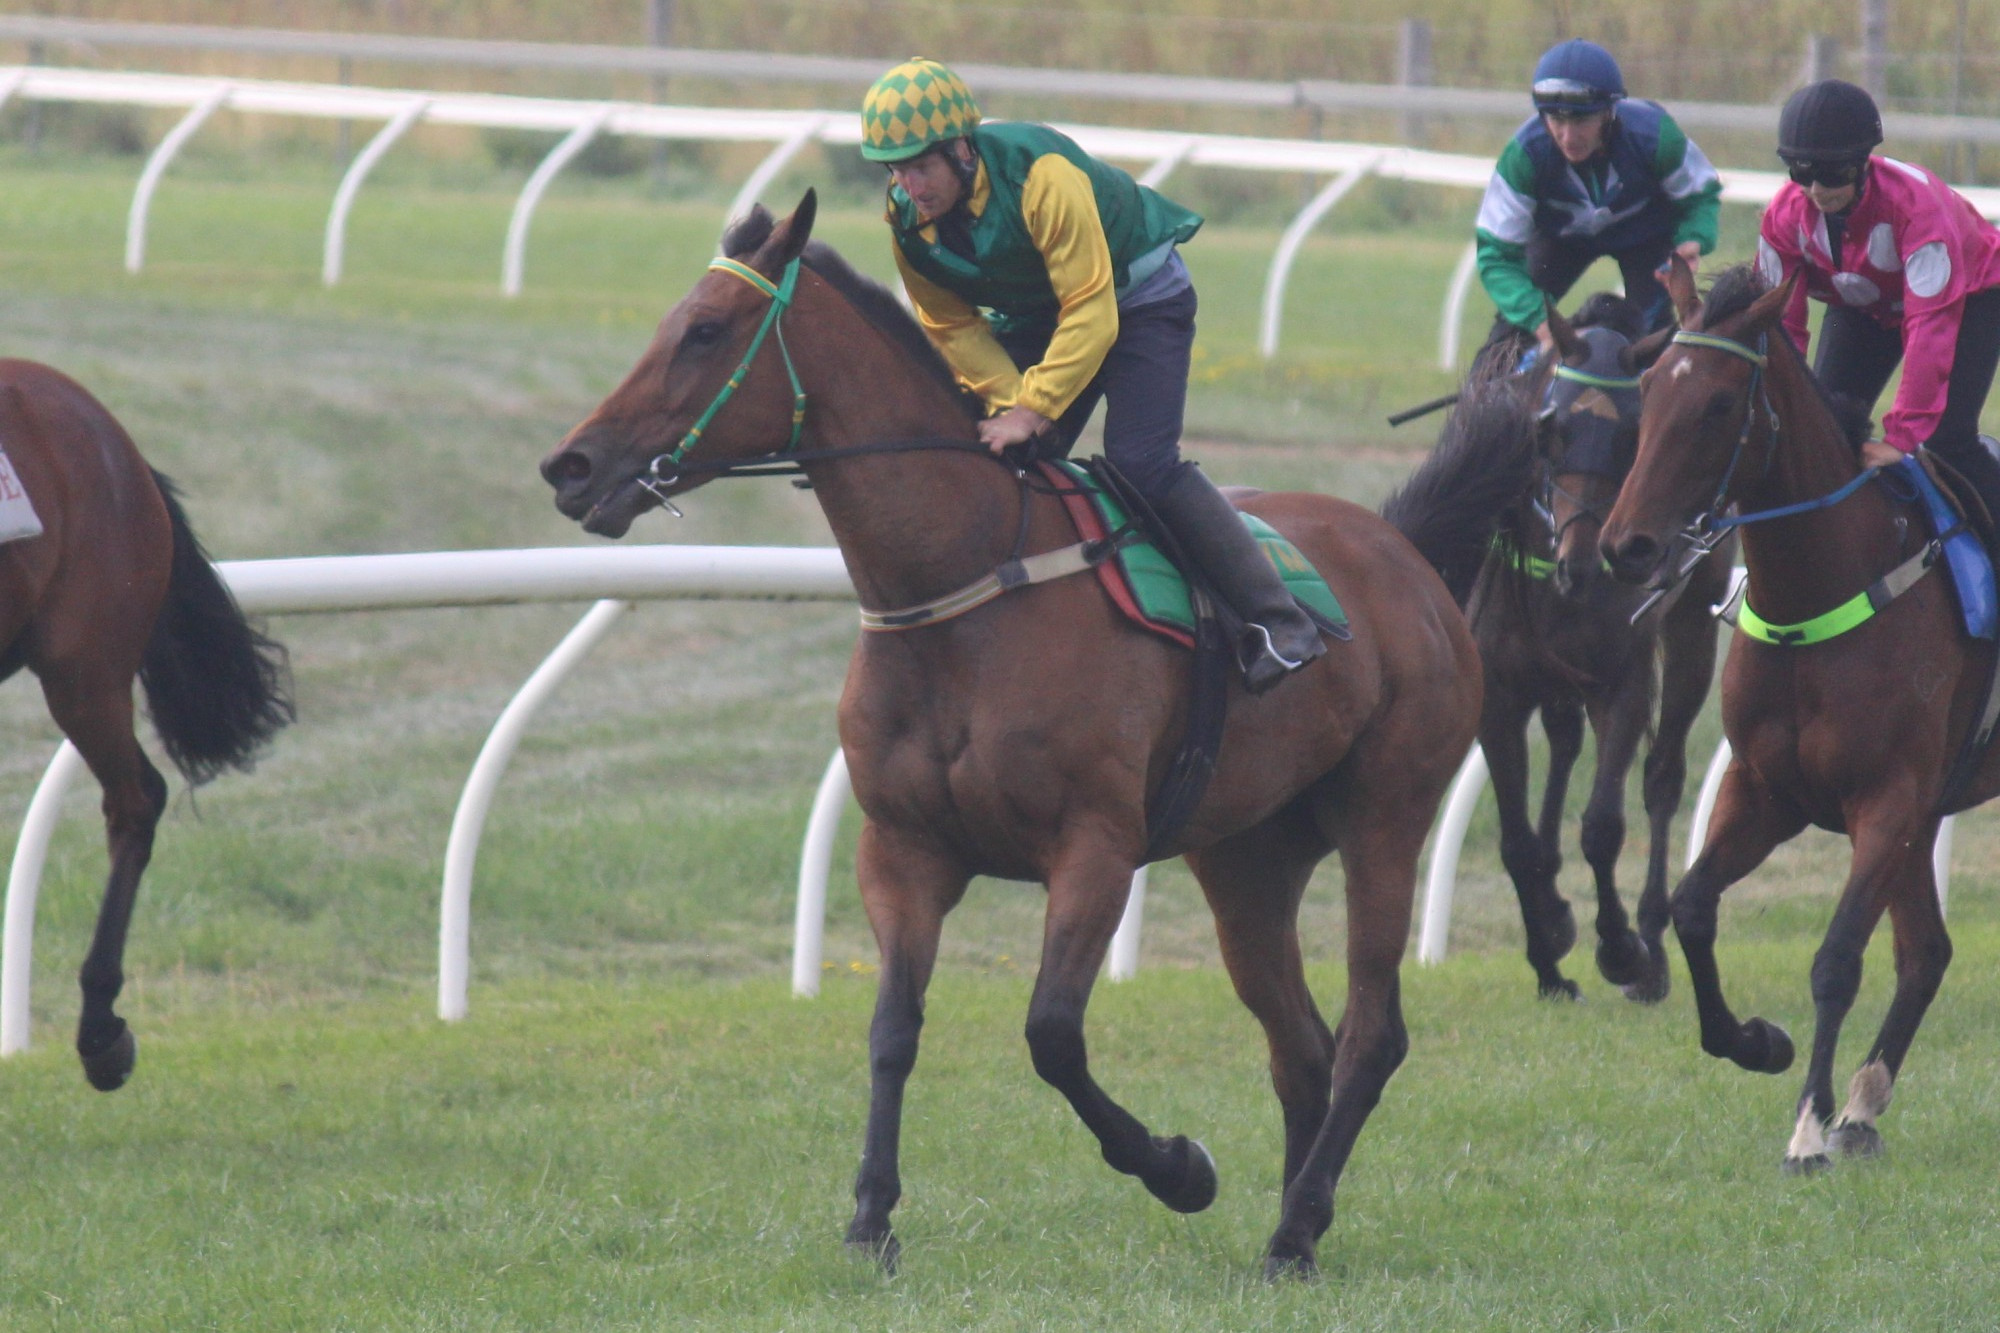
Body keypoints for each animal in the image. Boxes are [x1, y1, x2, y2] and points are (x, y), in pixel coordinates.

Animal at [540, 192, 1536, 1272]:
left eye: (706, 330)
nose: (570, 465)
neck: (966, 588)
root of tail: (1403, 552)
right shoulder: (903, 850)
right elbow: (892, 1026)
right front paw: (870, 1218)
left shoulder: (1094, 846)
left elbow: (1051, 1034)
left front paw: (1179, 1167)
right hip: (1245, 858)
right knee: (1300, 1043)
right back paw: (1294, 1224)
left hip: (1384, 816)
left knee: (1370, 1032)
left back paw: (1296, 1224)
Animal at [1472, 298, 1736, 996]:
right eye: (1552, 427)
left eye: (1632, 434)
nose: (1584, 563)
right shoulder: (1499, 694)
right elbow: (1514, 841)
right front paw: (1547, 952)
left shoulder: (1624, 682)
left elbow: (1603, 826)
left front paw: (1622, 949)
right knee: (1564, 741)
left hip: (1693, 626)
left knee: (1663, 776)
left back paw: (1650, 933)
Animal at [1600, 262, 1976, 1176]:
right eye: (1650, 385)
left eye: (1718, 405)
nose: (1625, 545)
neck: (1819, 592)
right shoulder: (1767, 789)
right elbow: (1695, 908)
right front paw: (1756, 1042)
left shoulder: (1886, 800)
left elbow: (1837, 958)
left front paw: (1806, 1126)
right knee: (1925, 953)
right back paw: (1864, 1107)